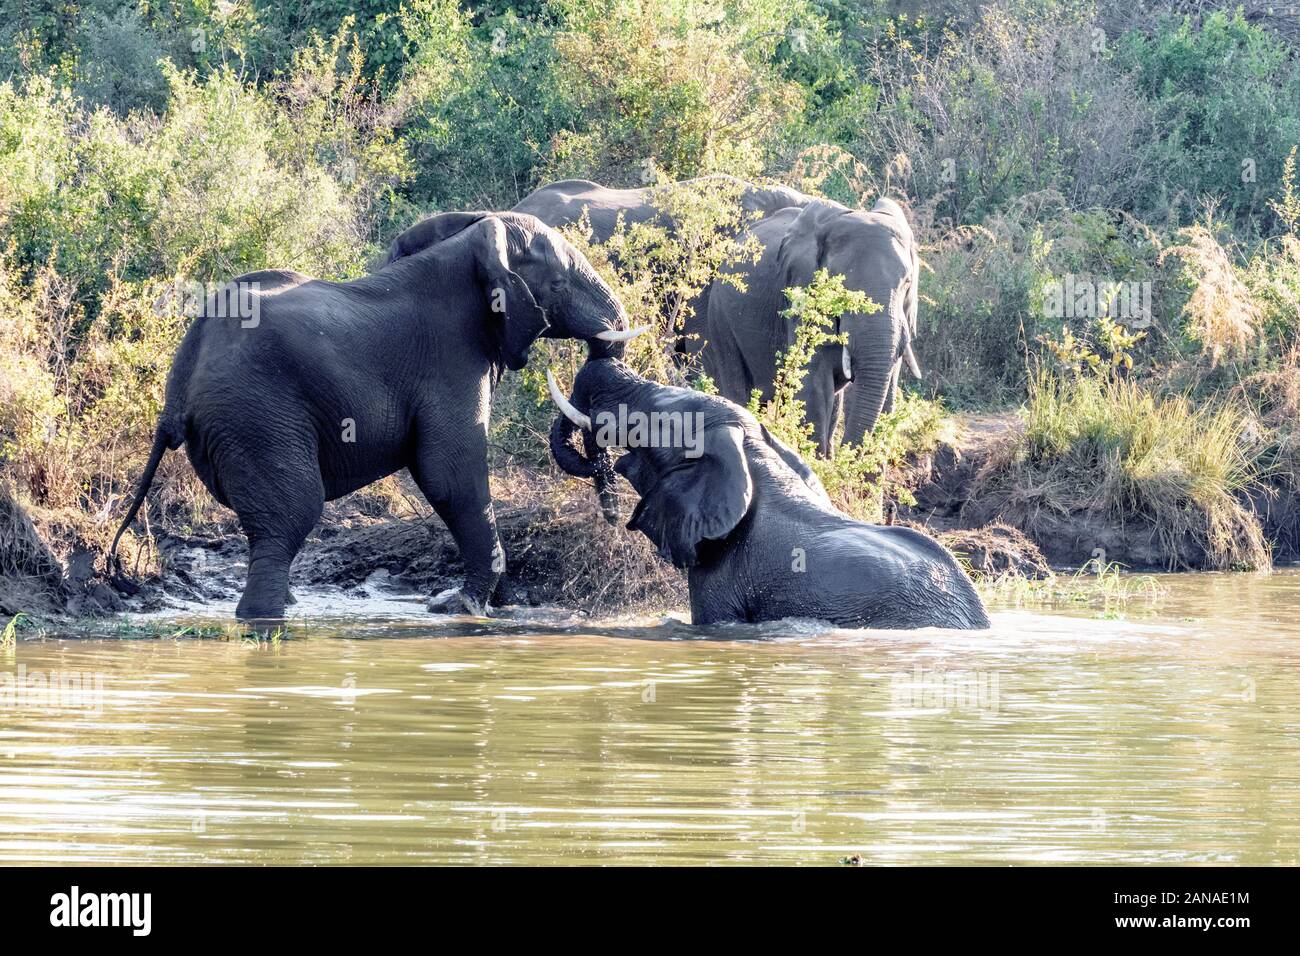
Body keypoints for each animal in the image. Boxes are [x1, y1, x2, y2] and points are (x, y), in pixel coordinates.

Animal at [109, 210, 647, 624]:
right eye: (557, 284)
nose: (612, 523)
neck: (473, 242)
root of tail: (180, 380)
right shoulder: (450, 357)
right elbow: (449, 473)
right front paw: (462, 608)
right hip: (255, 413)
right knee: (291, 514)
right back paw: (264, 618)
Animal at [702, 192, 925, 455]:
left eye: (907, 283)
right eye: (839, 285)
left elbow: (886, 387)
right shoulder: (801, 292)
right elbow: (814, 384)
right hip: (719, 315)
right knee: (736, 380)